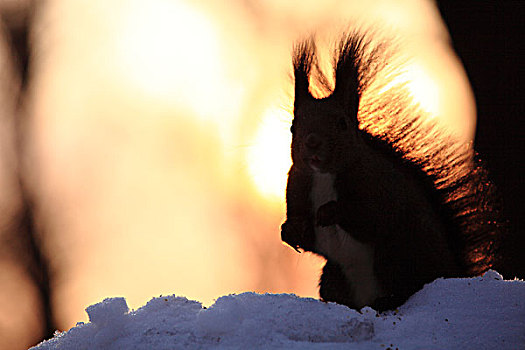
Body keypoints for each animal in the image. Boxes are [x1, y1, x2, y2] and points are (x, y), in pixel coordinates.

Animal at [280, 33, 506, 312]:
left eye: (342, 124)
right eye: (293, 126)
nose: (312, 142)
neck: (323, 177)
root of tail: (449, 269)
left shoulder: (380, 191)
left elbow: (369, 219)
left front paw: (330, 211)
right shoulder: (297, 187)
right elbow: (308, 237)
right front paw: (290, 230)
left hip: (395, 256)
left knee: (404, 287)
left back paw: (387, 300)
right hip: (335, 276)